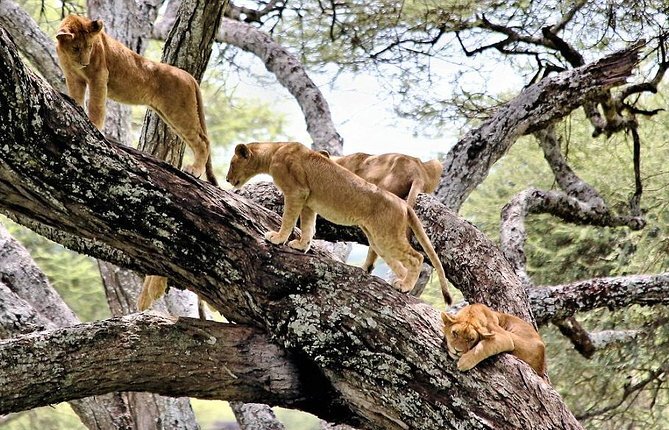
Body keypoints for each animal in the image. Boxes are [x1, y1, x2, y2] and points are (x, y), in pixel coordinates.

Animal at [55, 15, 217, 184]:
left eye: (90, 46)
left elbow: (96, 105)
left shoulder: (99, 76)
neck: (68, 57)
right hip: (170, 114)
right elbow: (77, 97)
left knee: (203, 141)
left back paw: (194, 170)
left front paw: (94, 127)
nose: (85, 63)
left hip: (180, 111)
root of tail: (189, 76)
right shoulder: (73, 77)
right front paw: (76, 110)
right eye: (76, 48)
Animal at [226, 142, 452, 304]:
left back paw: (404, 286)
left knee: (417, 257)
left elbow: (289, 218)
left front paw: (277, 238)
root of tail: (403, 204)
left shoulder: (296, 192)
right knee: (398, 262)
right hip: (378, 239)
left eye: (231, 164)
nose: (227, 179)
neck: (273, 151)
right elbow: (307, 226)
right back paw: (401, 283)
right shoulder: (308, 201)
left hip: (386, 236)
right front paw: (301, 245)